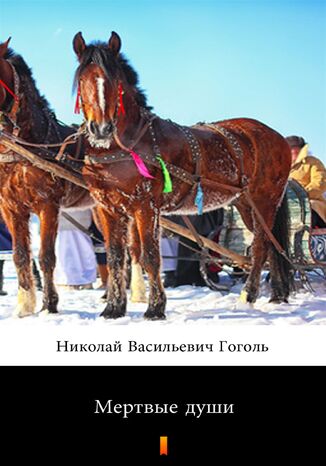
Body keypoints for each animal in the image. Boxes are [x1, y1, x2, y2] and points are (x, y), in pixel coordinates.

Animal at [0, 39, 91, 316]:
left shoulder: (48, 205)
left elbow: (46, 257)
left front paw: (50, 303)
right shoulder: (11, 207)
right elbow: (20, 255)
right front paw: (24, 306)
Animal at [72, 31, 292, 318]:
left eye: (114, 80)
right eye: (82, 80)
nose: (100, 129)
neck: (124, 146)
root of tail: (277, 137)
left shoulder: (146, 206)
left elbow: (150, 256)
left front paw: (155, 308)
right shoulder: (108, 209)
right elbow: (115, 258)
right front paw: (114, 308)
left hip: (265, 200)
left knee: (261, 247)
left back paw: (249, 295)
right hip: (246, 203)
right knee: (270, 245)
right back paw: (277, 295)